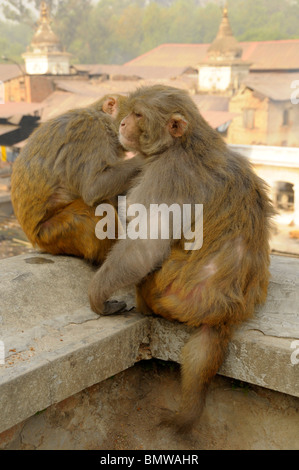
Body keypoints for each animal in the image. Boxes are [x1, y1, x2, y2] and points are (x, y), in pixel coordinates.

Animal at [11, 94, 143, 264]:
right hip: (56, 233)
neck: (103, 119)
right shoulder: (91, 131)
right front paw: (143, 158)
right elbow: (93, 188)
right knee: (95, 209)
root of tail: (35, 240)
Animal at [88, 83, 276, 430]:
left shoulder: (168, 174)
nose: (123, 124)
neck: (185, 143)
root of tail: (227, 311)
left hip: (165, 292)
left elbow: (146, 244)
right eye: (130, 112)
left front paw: (97, 294)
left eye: (139, 115)